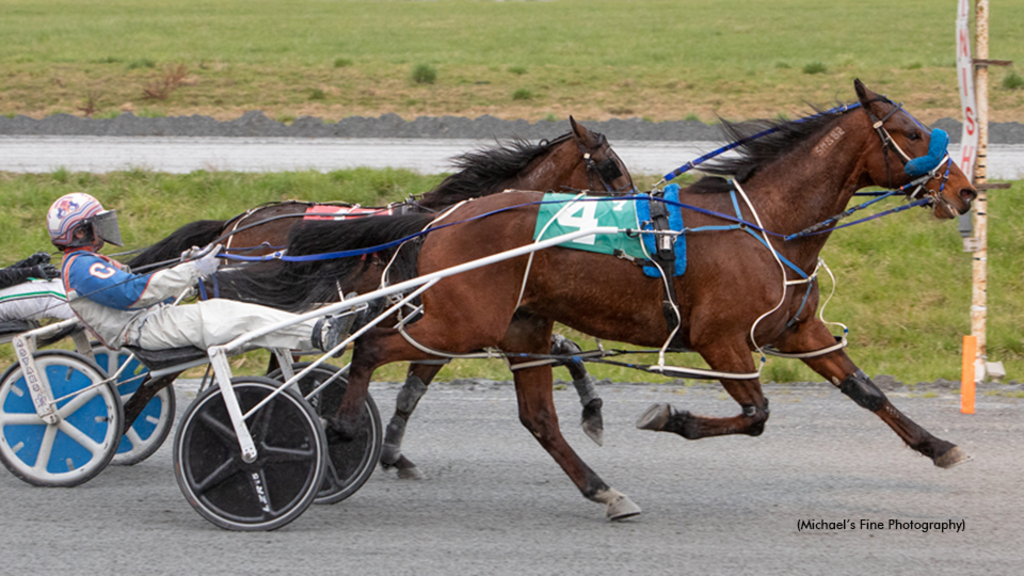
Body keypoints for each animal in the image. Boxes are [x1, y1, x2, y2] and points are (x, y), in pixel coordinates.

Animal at [117, 116, 630, 475]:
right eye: (611, 167)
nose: (633, 205)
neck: (462, 223)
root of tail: (235, 224)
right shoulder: (446, 321)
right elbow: (414, 387)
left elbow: (562, 349)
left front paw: (592, 409)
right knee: (166, 373)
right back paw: (122, 421)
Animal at [258, 79, 974, 516]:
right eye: (912, 132)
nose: (965, 191)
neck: (764, 224)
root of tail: (441, 219)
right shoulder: (720, 340)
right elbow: (756, 414)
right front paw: (669, 417)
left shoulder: (797, 330)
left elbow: (867, 392)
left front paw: (939, 446)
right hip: (461, 320)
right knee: (374, 346)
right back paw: (338, 427)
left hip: (521, 328)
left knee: (538, 420)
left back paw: (604, 491)